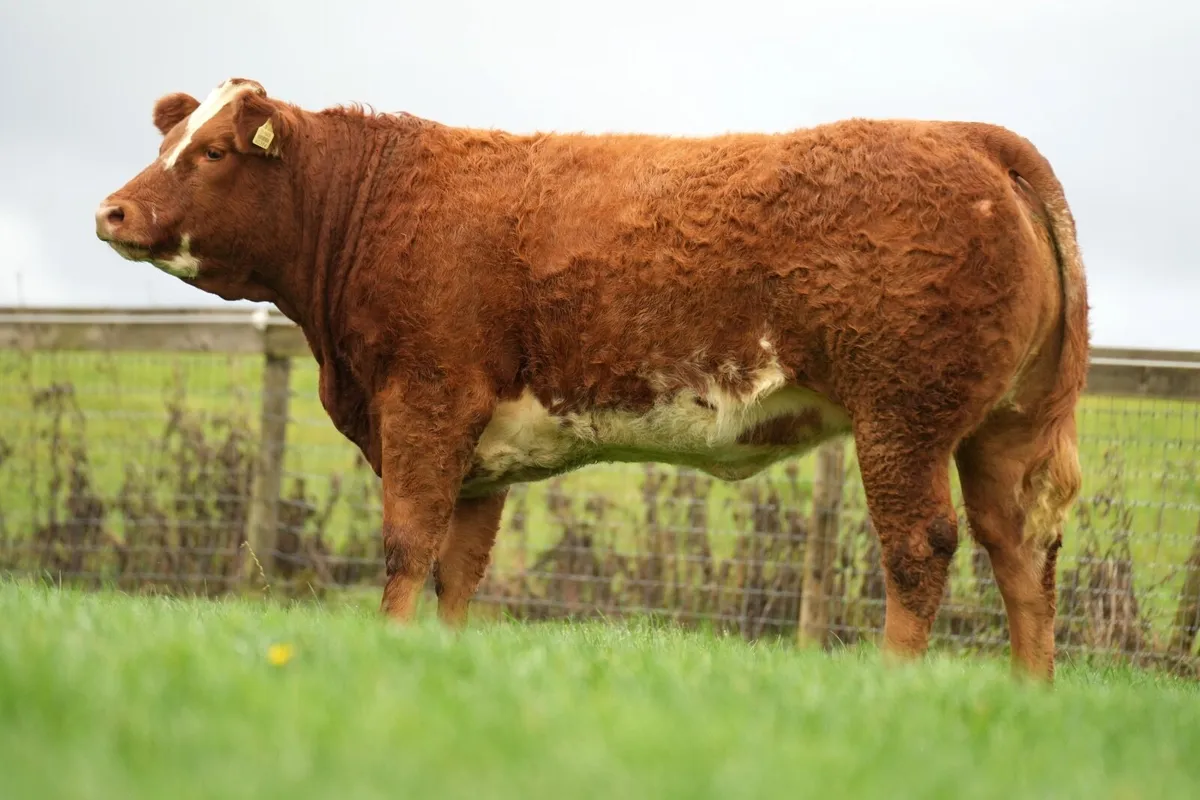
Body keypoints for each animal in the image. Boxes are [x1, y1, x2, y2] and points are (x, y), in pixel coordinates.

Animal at [94, 78, 1089, 681]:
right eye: (171, 137)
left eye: (213, 152)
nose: (114, 210)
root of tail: (971, 136)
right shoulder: (477, 447)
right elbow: (460, 565)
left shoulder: (424, 399)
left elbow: (407, 545)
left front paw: (392, 647)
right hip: (1003, 428)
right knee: (1022, 551)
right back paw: (1028, 692)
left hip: (901, 418)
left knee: (921, 548)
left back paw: (893, 684)